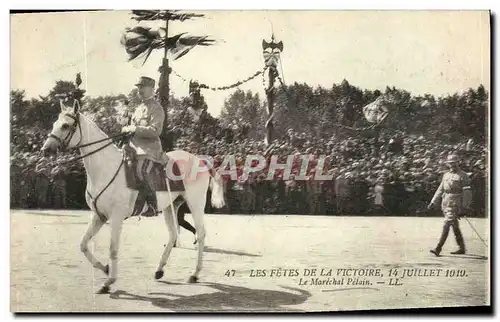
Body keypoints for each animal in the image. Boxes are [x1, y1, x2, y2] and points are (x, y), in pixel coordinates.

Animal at [41, 101, 225, 294]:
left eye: (65, 125)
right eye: (55, 123)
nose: (45, 149)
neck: (105, 168)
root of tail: (200, 160)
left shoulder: (116, 217)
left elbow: (113, 248)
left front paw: (109, 281)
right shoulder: (98, 216)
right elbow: (83, 245)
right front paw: (105, 268)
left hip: (195, 204)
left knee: (201, 233)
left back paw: (195, 274)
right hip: (171, 206)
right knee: (173, 234)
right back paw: (159, 270)